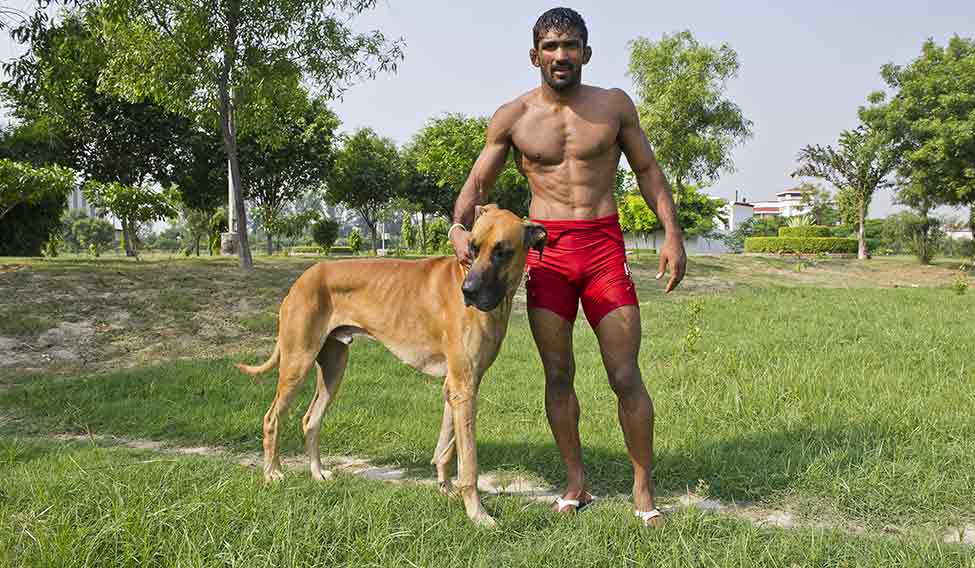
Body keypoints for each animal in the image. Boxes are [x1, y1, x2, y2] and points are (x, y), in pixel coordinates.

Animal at [234, 205, 544, 528]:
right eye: (473, 247)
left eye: (502, 252)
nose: (467, 291)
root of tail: (302, 278)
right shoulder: (464, 386)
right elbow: (469, 462)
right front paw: (477, 514)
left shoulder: (460, 386)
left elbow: (447, 447)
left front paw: (446, 488)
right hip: (297, 362)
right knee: (272, 418)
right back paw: (272, 473)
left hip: (333, 367)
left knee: (311, 419)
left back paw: (317, 473)